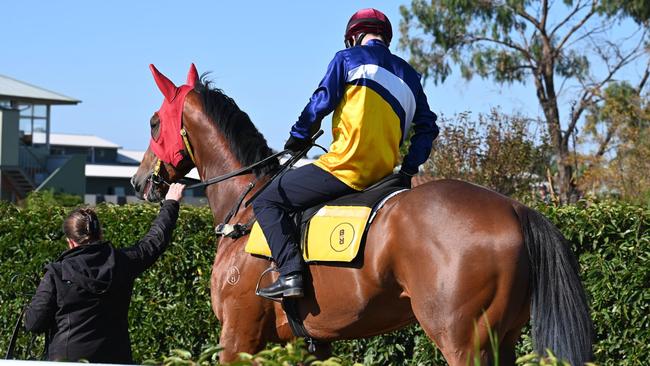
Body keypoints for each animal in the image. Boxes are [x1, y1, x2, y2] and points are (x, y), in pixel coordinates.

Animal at [129, 64, 588, 364]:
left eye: (153, 122)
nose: (139, 180)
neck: (245, 204)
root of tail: (515, 207)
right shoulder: (304, 344)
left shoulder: (238, 337)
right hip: (502, 338)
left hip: (464, 342)